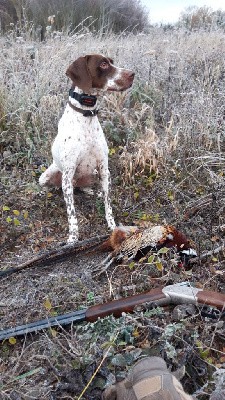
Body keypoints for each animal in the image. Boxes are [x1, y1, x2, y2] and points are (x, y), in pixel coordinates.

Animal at [39, 52, 134, 241]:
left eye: (111, 62)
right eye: (103, 64)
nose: (132, 74)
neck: (86, 116)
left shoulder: (104, 168)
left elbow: (108, 204)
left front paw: (113, 226)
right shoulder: (68, 174)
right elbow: (72, 215)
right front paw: (73, 238)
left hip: (98, 174)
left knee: (89, 189)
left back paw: (95, 192)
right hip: (49, 177)